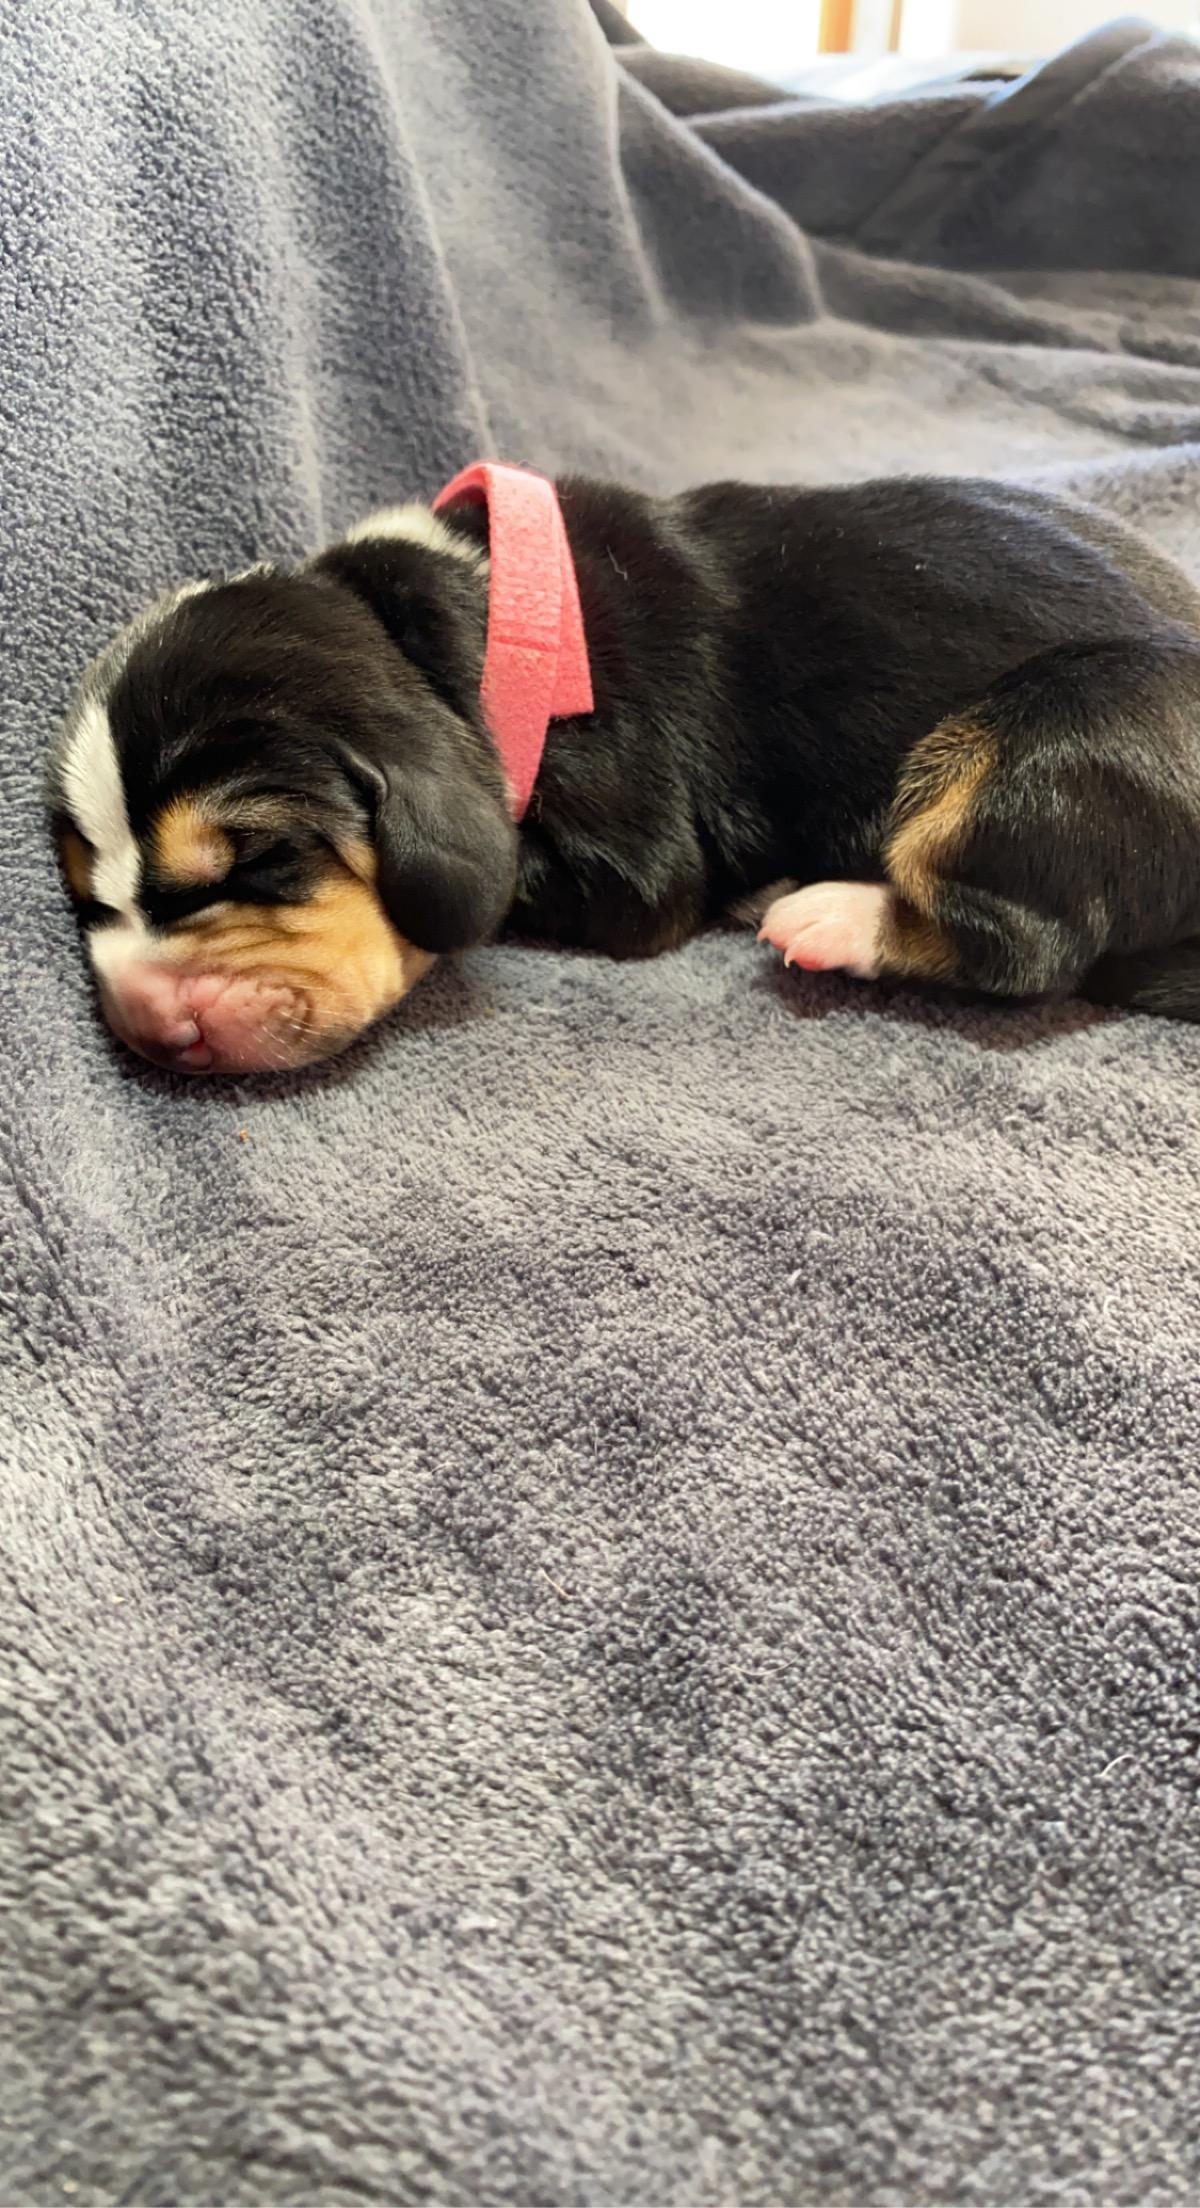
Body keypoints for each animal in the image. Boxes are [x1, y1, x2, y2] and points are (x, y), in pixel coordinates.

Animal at [50, 463, 1200, 1074]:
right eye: (83, 891)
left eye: (259, 860)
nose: (144, 1021)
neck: (462, 618)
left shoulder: (637, 859)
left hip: (1055, 728)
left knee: (1026, 947)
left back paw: (827, 913)